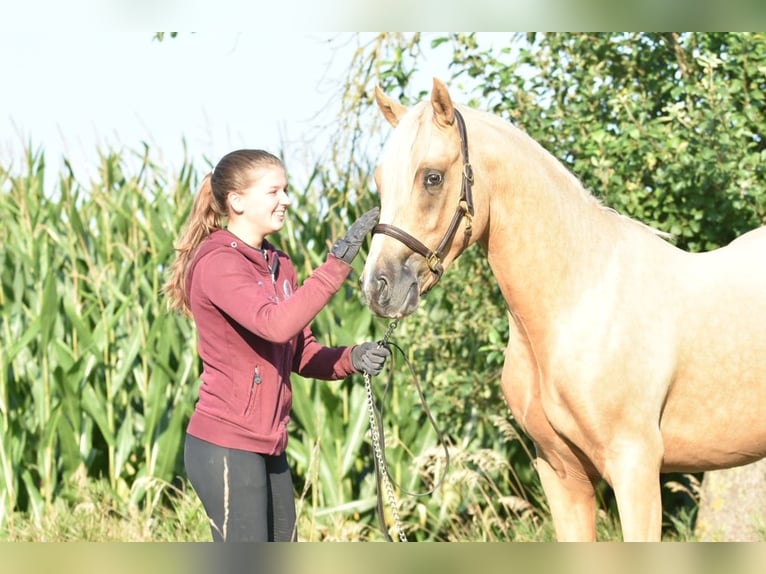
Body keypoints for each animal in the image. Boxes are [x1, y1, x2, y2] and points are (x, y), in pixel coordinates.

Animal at [362, 79, 766, 544]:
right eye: (379, 182)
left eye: (432, 177)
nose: (377, 287)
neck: (581, 299)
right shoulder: (561, 473)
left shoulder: (636, 468)